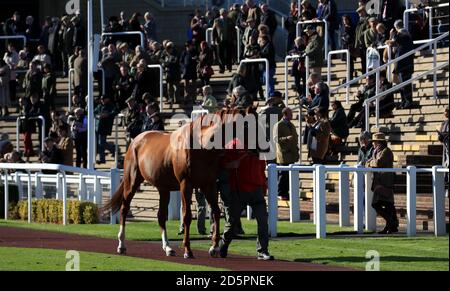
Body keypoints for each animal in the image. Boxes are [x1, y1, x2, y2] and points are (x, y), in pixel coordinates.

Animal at [103, 108, 256, 260]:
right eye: (247, 124)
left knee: (161, 216)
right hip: (132, 182)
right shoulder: (185, 184)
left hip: (163, 188)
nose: (257, 148)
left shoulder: (209, 185)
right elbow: (187, 216)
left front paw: (214, 248)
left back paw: (168, 248)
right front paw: (188, 250)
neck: (202, 145)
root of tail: (136, 140)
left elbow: (216, 212)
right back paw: (121, 245)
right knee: (124, 208)